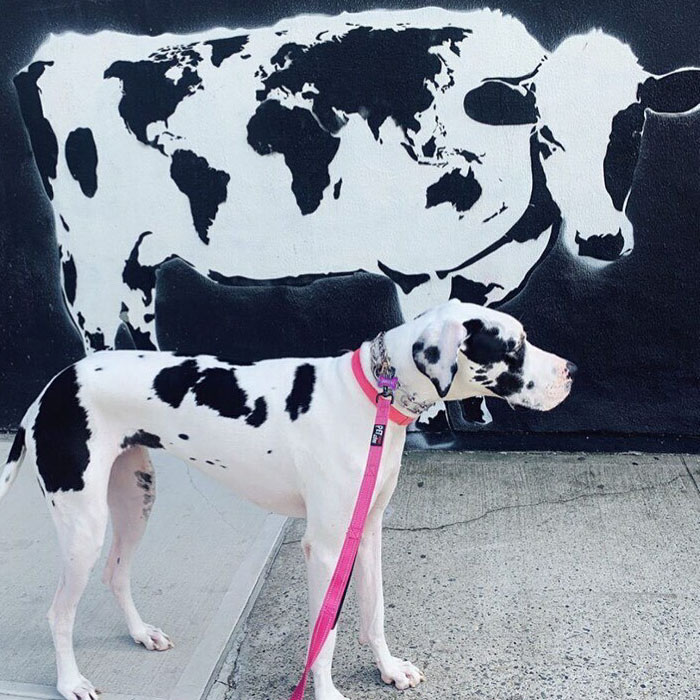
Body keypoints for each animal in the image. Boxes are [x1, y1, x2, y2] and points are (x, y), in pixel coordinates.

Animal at [14, 7, 700, 358]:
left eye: (633, 126)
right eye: (548, 135)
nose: (602, 239)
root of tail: (58, 49)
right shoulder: (417, 263)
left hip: (138, 251)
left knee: (139, 319)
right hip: (91, 248)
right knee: (97, 327)